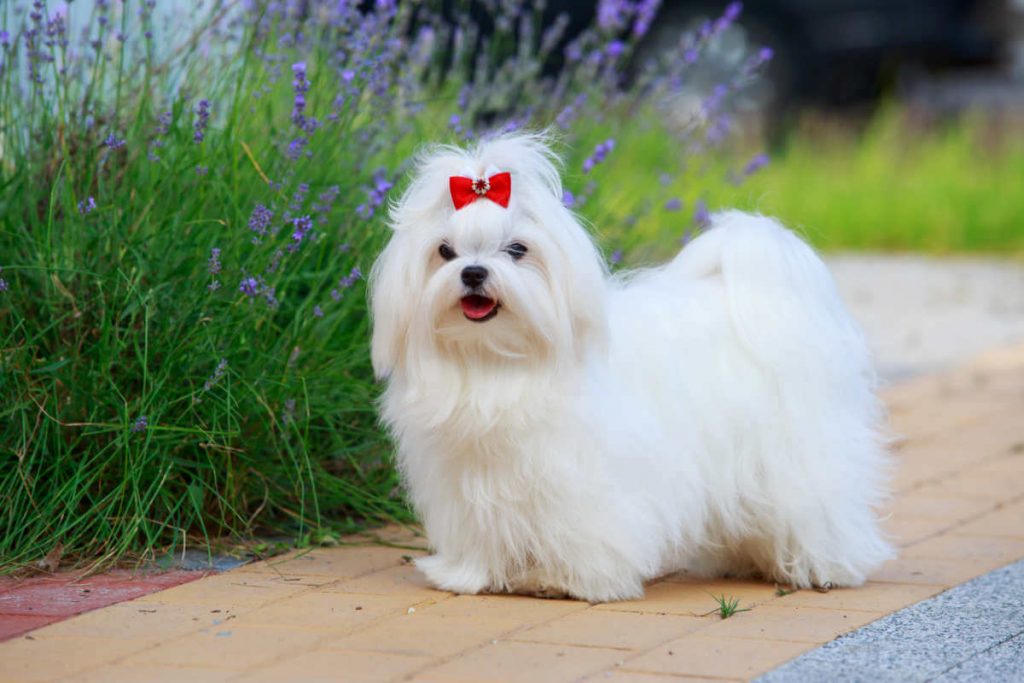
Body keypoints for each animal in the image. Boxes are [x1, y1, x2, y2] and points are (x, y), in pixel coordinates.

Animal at [370, 133, 893, 602]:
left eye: (517, 249)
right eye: (445, 251)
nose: (473, 272)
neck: (497, 361)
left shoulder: (578, 478)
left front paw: (566, 580)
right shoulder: (469, 479)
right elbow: (482, 527)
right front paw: (472, 574)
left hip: (797, 455)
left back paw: (823, 566)